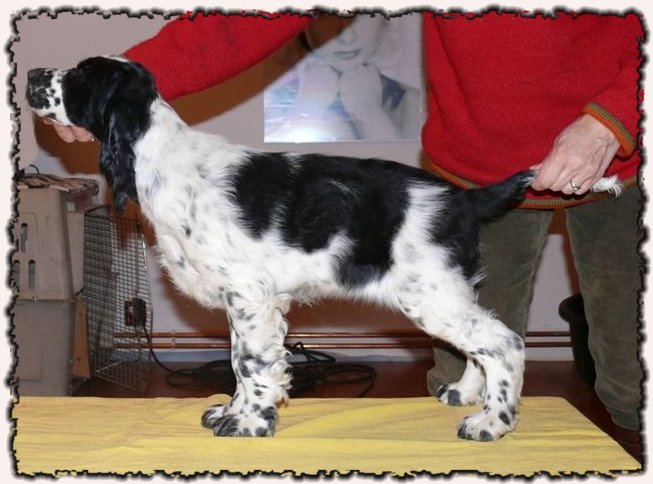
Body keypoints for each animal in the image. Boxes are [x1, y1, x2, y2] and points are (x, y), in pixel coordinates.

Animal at [26, 56, 619, 441]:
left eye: (78, 76)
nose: (31, 75)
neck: (164, 160)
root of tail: (466, 198)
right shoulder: (248, 304)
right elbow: (240, 361)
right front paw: (233, 411)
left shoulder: (250, 296)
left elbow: (253, 363)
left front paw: (249, 422)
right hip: (447, 294)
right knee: (485, 341)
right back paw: (467, 394)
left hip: (430, 297)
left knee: (504, 342)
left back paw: (490, 422)